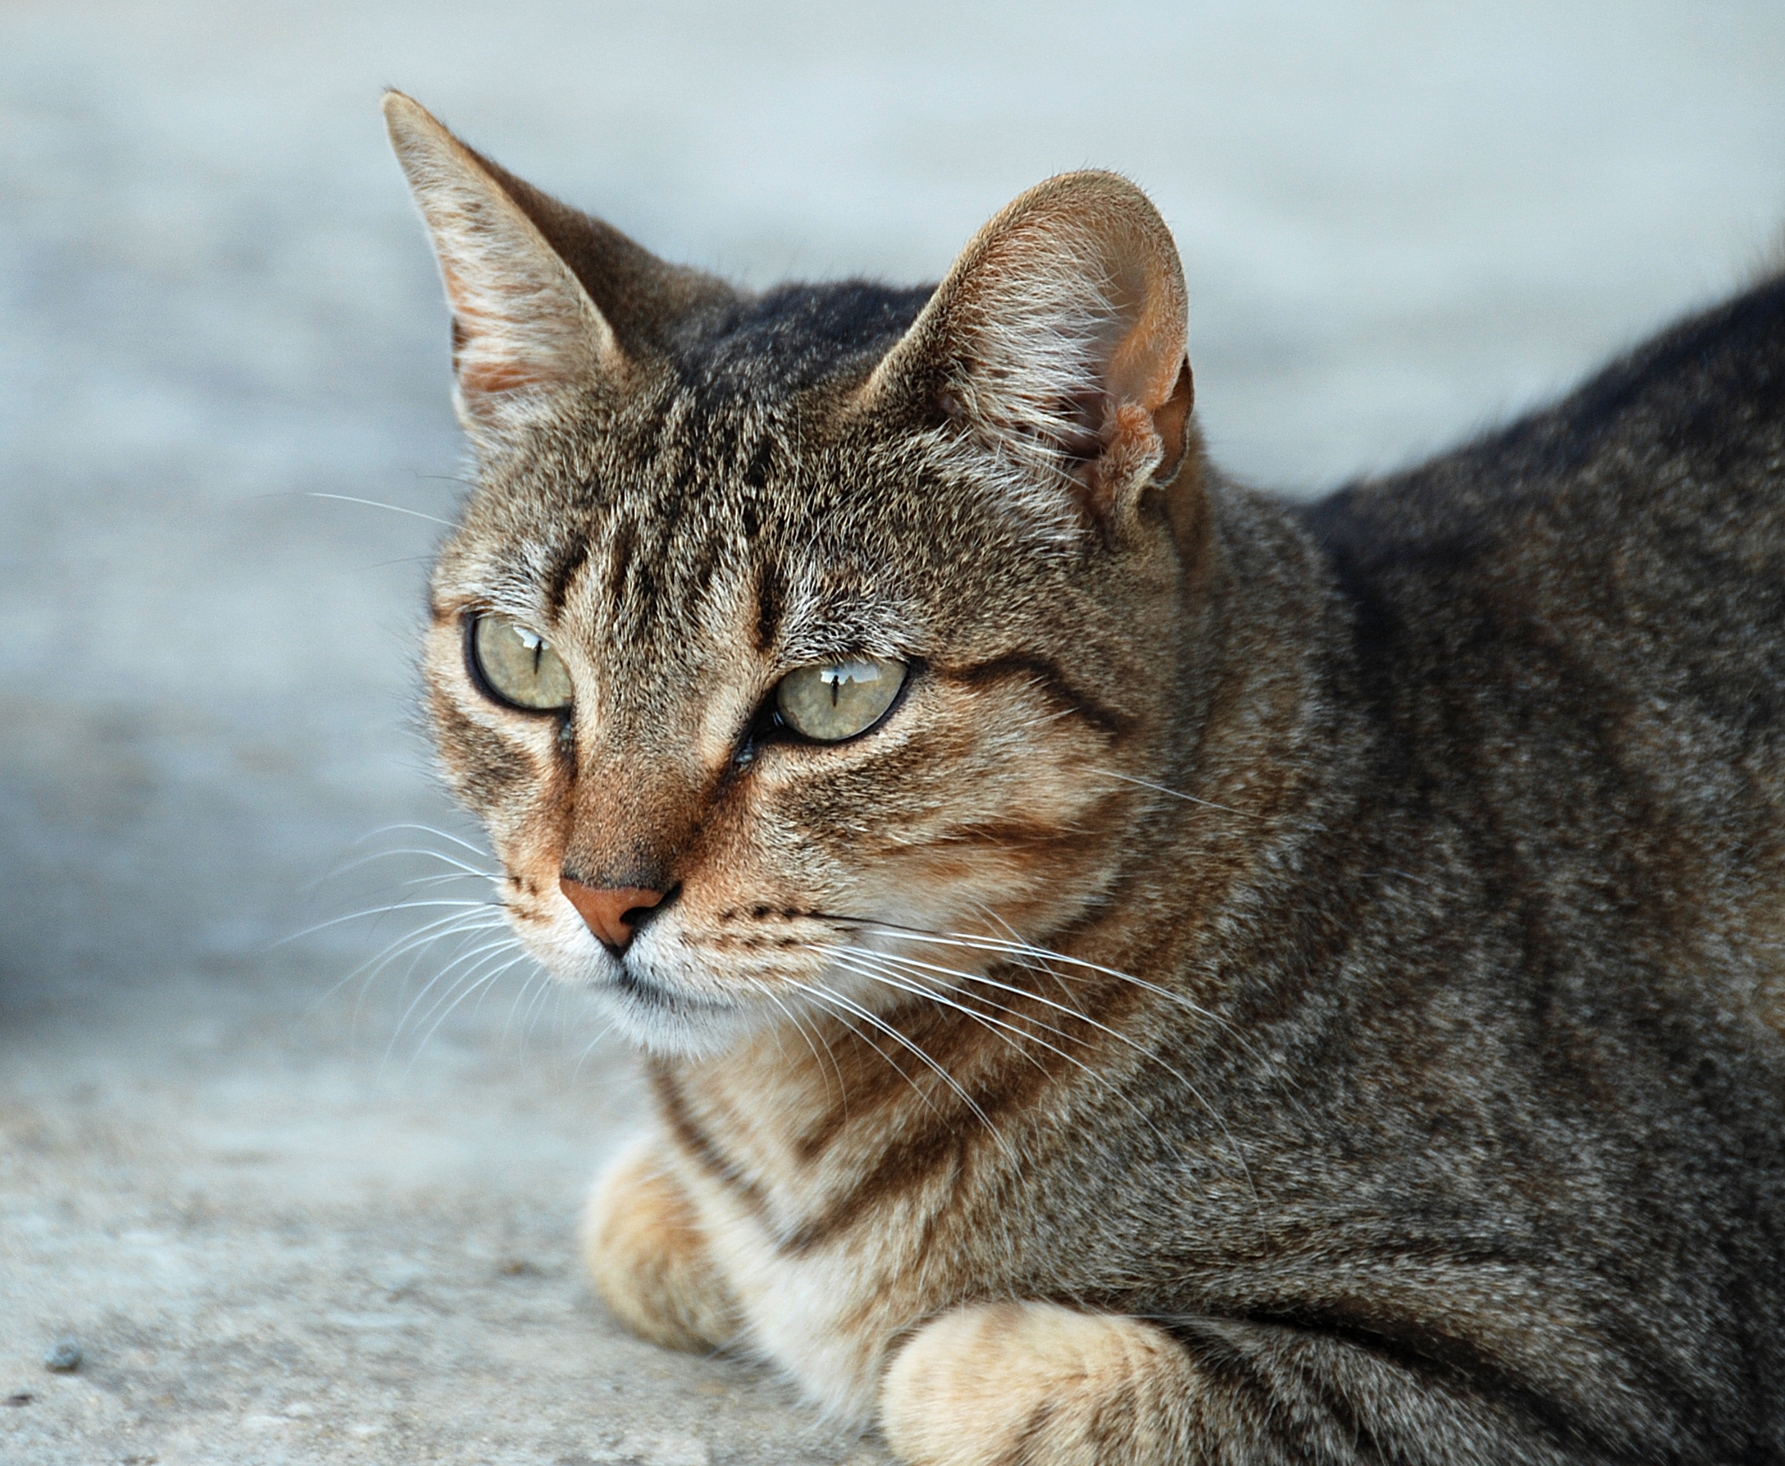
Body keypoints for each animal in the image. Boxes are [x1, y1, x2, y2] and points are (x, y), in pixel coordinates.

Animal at [383, 94, 1785, 1464]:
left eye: (834, 695)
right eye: (520, 661)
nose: (600, 897)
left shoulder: (1568, 1350)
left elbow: (955, 1375)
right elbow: (640, 1224)